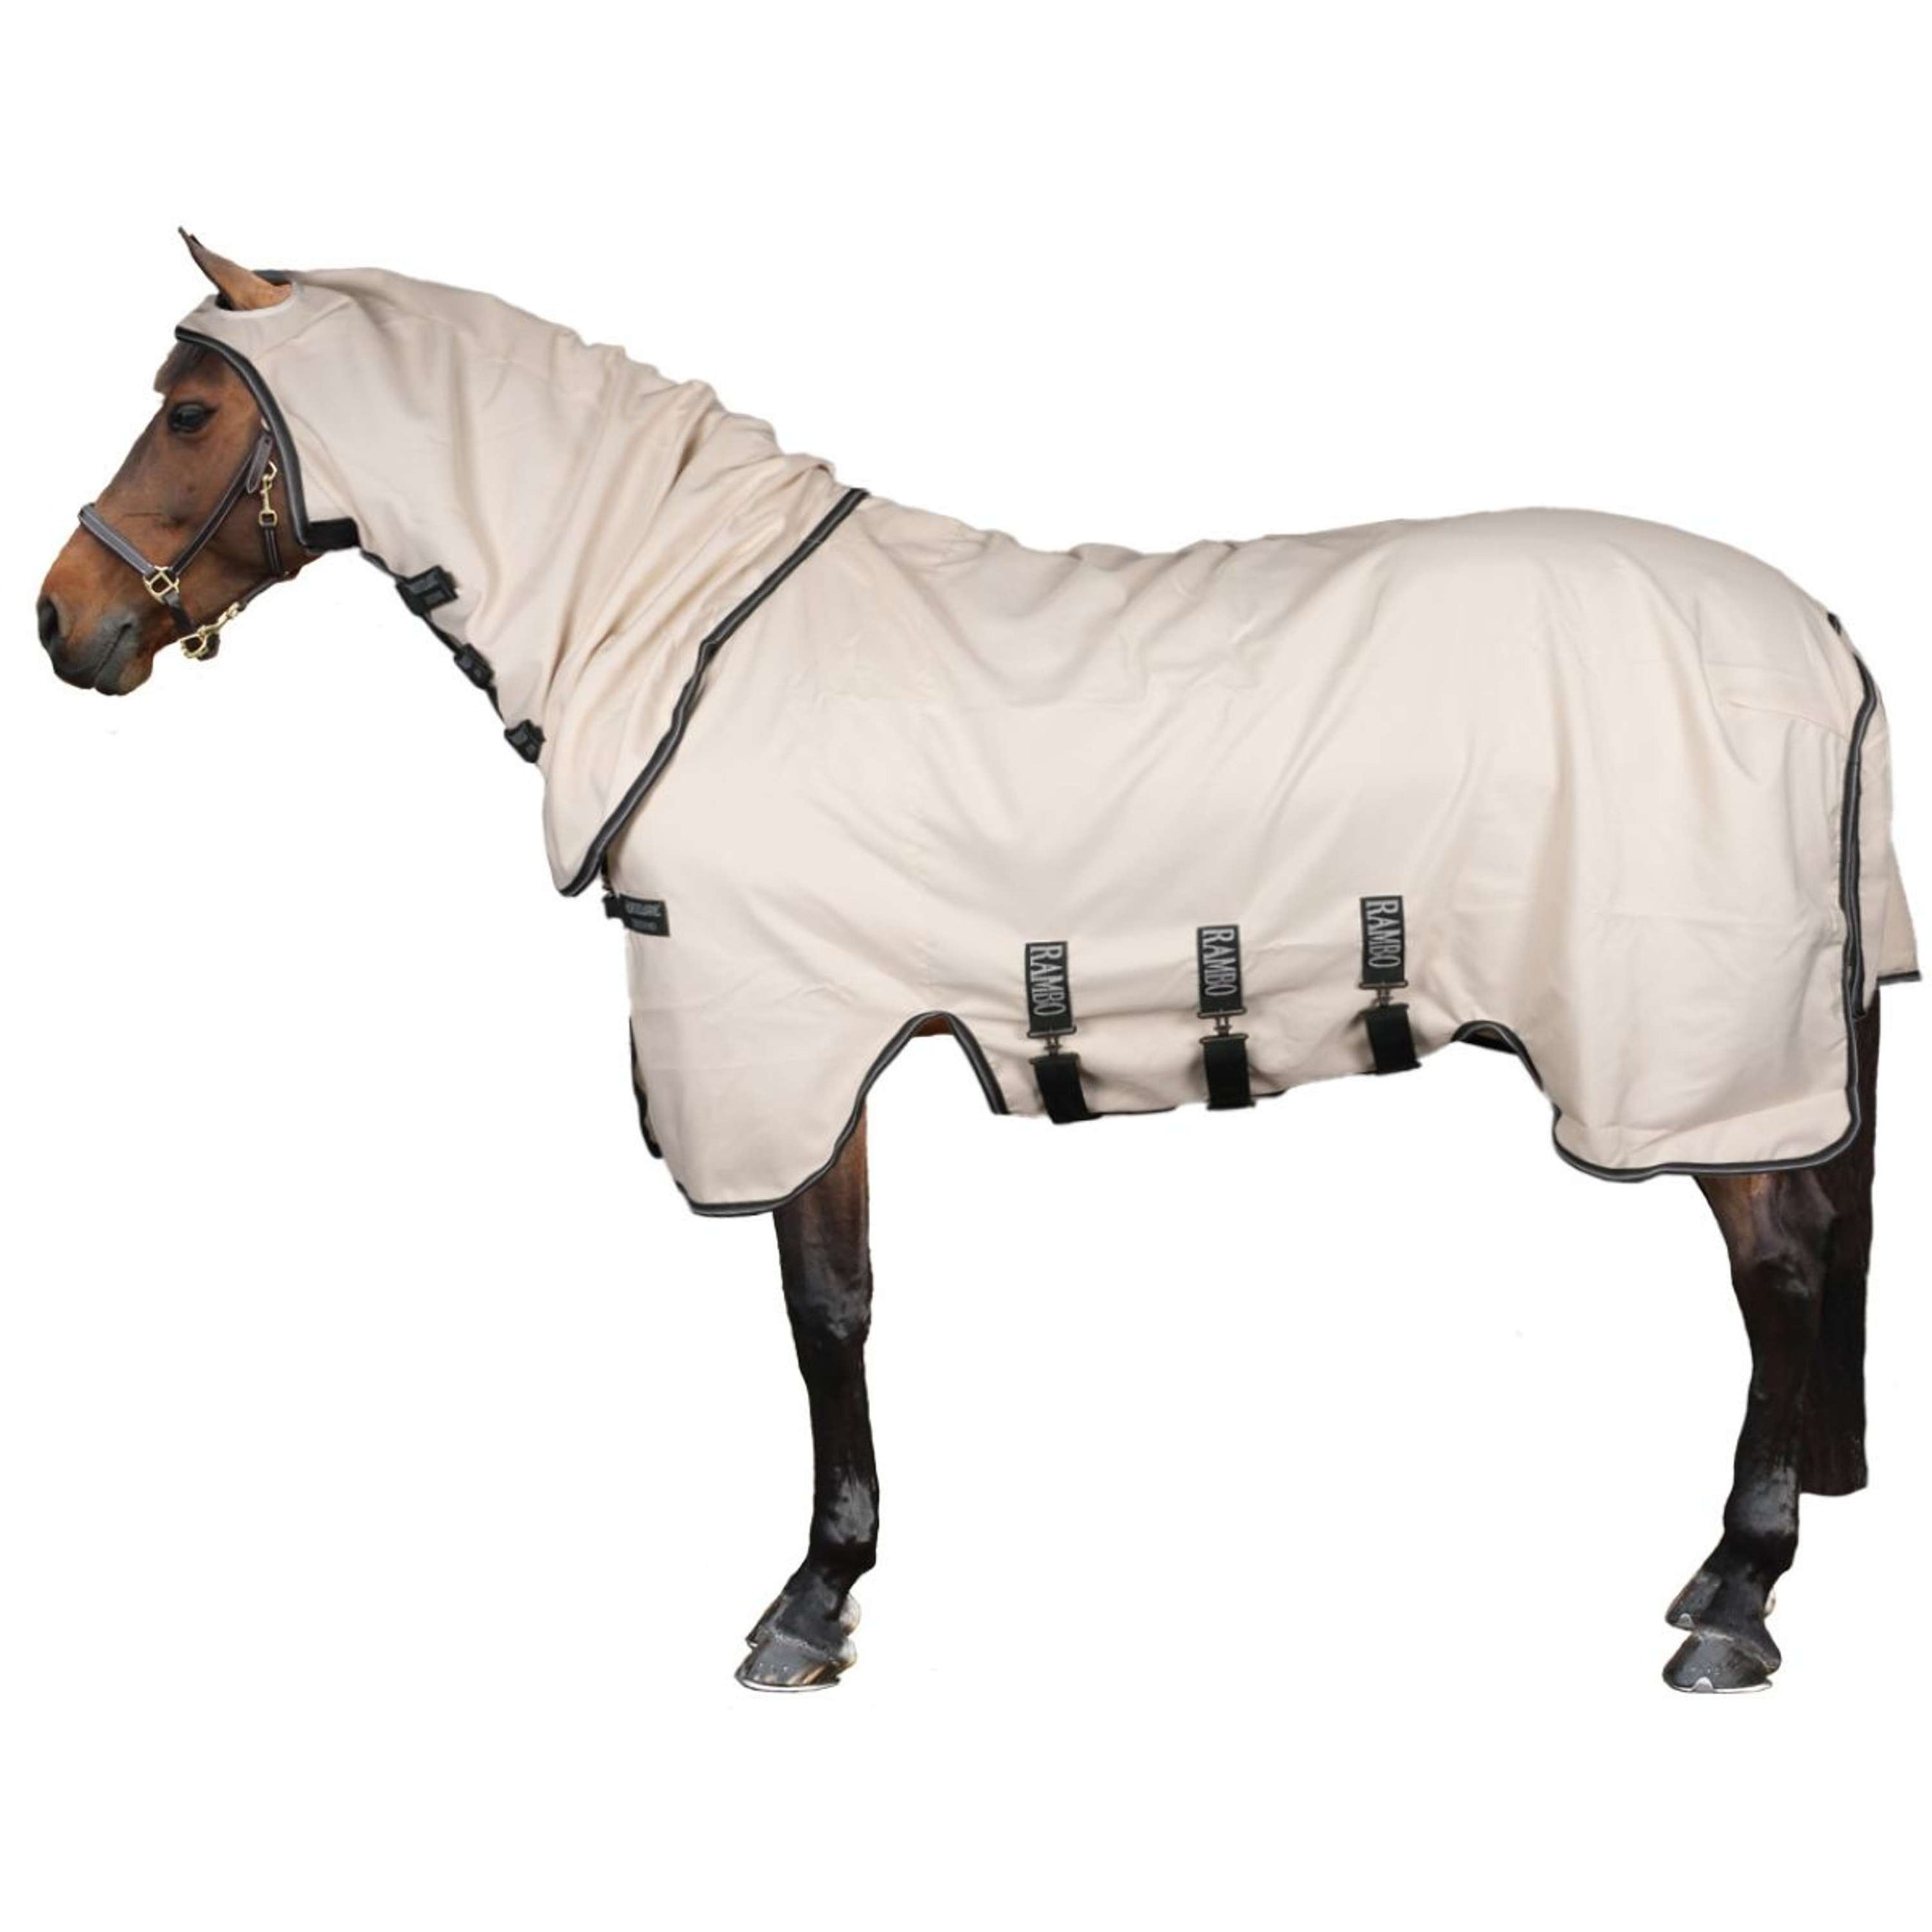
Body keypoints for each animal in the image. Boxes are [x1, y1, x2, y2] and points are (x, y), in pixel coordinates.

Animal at [37, 233, 1916, 1693]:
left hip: (1684, 1050)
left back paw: (1734, 1603)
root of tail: (1819, 635)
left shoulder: (782, 1046)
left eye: (192, 408)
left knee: (1781, 1269)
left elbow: (825, 1312)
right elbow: (842, 1304)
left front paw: (810, 1603)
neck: (694, 628)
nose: (65, 623)